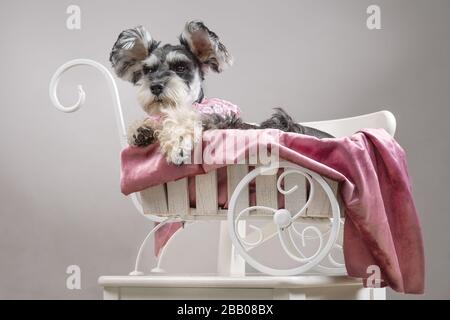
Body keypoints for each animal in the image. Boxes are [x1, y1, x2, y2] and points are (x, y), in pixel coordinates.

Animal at [110, 21, 332, 164]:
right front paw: (141, 129)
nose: (155, 86)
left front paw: (177, 144)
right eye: (148, 70)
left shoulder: (218, 120)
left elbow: (185, 120)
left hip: (280, 121)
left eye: (180, 67)